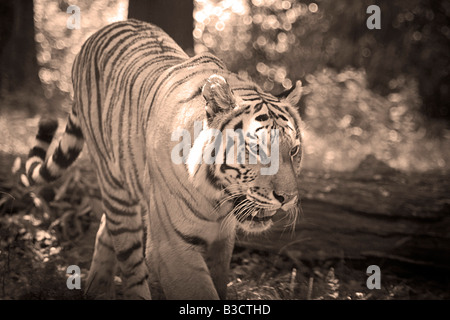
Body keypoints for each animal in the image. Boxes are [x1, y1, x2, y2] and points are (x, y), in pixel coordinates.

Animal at [26, 19, 304, 300]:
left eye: (294, 151)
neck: (217, 200)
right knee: (128, 256)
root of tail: (100, 32)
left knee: (105, 230)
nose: (288, 198)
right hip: (116, 189)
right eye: (257, 148)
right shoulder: (172, 246)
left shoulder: (221, 242)